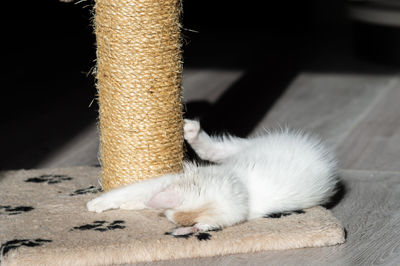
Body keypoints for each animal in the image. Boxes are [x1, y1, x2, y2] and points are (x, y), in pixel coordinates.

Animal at [87, 119, 338, 236]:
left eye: (168, 217)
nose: (164, 215)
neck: (246, 193)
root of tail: (324, 157)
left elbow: (138, 192)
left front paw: (104, 203)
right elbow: (135, 190)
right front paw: (101, 202)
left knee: (215, 152)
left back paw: (192, 134)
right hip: (250, 147)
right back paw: (191, 131)